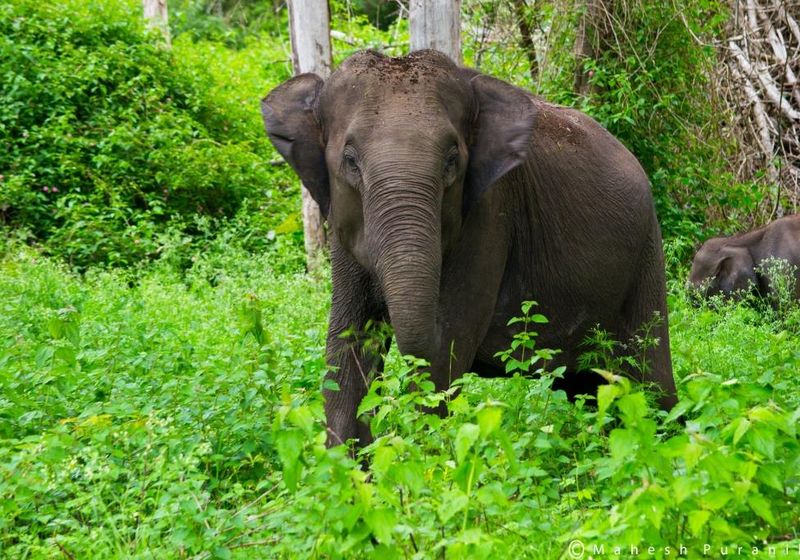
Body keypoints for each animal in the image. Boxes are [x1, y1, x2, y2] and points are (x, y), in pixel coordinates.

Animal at [261, 49, 678, 447]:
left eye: (452, 161)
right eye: (350, 161)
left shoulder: (489, 215)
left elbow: (446, 347)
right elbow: (347, 346)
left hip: (646, 255)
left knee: (650, 381)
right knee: (589, 387)